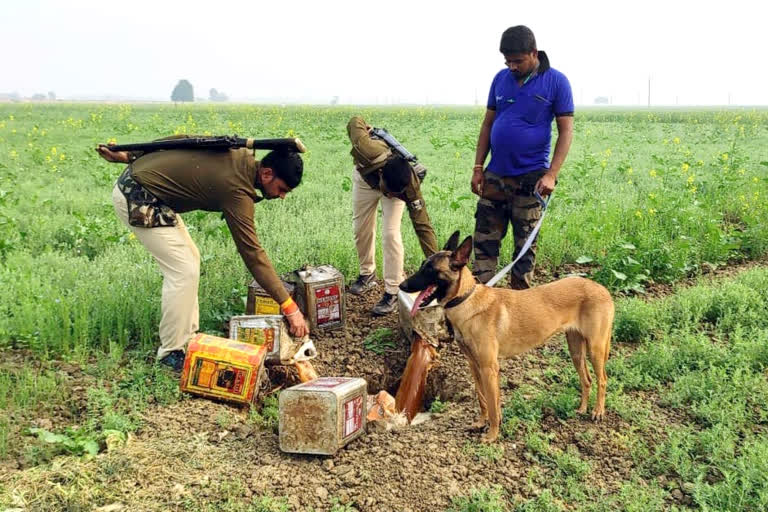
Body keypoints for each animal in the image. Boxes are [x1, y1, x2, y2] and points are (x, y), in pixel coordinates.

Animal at [400, 234, 616, 442]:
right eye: (422, 265)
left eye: (430, 270)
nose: (401, 286)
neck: (466, 300)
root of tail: (603, 288)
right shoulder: (475, 366)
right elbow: (483, 399)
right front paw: (481, 423)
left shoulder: (489, 368)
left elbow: (493, 406)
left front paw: (492, 435)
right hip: (575, 350)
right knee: (586, 379)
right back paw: (582, 409)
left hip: (595, 349)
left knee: (602, 379)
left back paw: (598, 412)